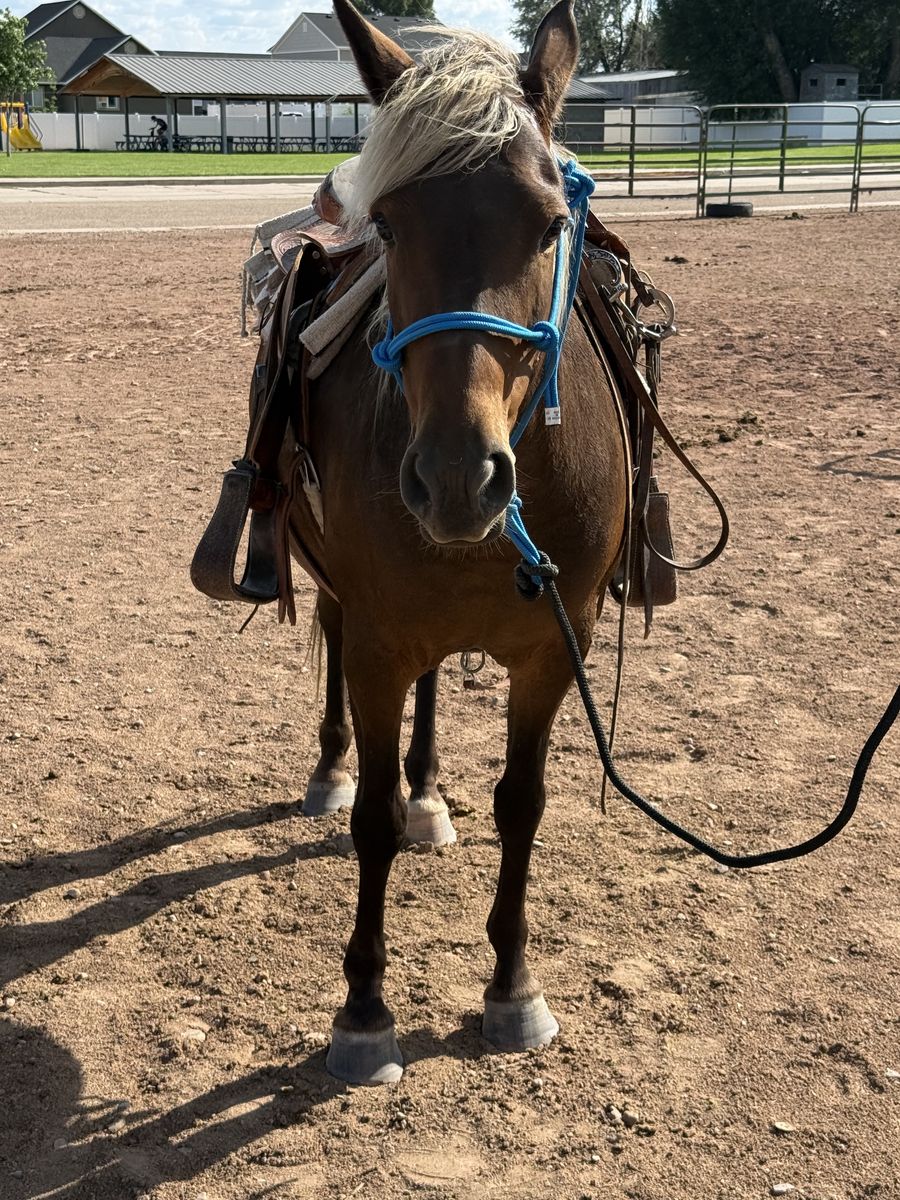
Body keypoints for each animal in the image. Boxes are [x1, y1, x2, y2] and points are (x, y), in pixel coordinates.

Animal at [287, 0, 628, 1084]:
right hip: (348, 604)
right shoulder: (378, 646)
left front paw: (513, 990)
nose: (455, 478)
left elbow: (523, 804)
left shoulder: (552, 650)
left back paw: (434, 791)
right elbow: (373, 820)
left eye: (551, 223)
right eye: (392, 224)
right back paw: (332, 770)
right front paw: (363, 1011)